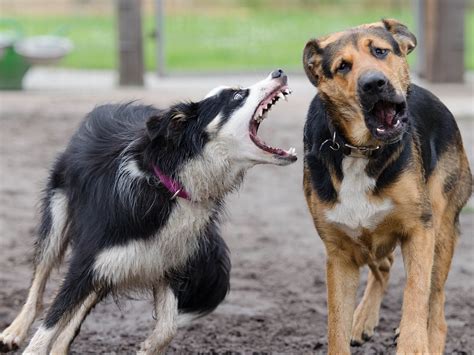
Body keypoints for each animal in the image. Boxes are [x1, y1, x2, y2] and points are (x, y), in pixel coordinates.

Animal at [0, 70, 296, 355]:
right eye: (237, 95)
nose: (279, 71)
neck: (171, 183)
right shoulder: (88, 260)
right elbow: (49, 324)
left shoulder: (165, 261)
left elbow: (168, 327)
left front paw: (147, 347)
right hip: (59, 215)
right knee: (40, 282)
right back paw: (14, 332)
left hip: (116, 265)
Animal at [302, 20, 472, 355]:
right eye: (342, 66)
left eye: (380, 51)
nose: (373, 84)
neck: (360, 150)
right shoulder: (339, 253)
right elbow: (336, 326)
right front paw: (351, 325)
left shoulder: (419, 230)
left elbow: (416, 294)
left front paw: (414, 343)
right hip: (368, 240)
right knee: (384, 266)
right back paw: (362, 320)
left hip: (441, 228)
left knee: (436, 302)